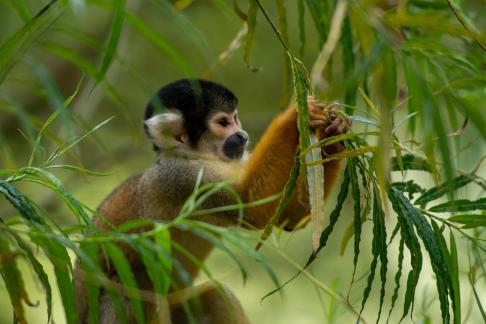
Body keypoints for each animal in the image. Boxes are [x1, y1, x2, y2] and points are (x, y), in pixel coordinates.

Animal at [74, 79, 352, 324]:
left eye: (235, 118)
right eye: (222, 122)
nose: (242, 135)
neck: (194, 157)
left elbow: (288, 217)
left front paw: (334, 131)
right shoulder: (183, 180)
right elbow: (250, 205)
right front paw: (295, 115)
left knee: (216, 295)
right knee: (131, 283)